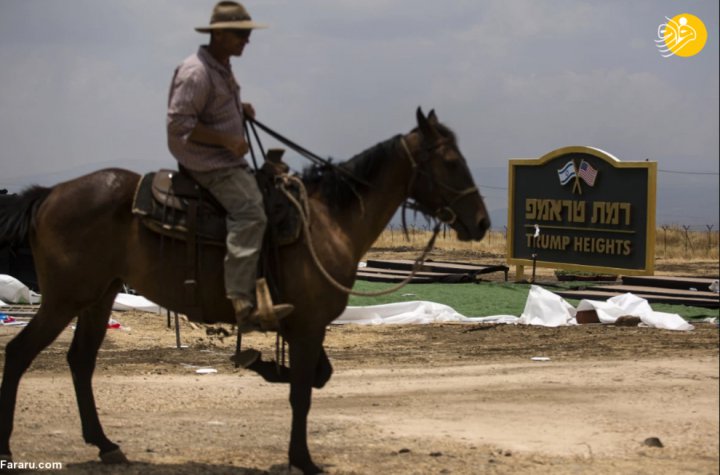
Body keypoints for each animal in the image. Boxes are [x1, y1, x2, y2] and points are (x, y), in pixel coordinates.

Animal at [0, 109, 490, 474]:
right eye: (450, 160)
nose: (482, 222)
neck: (328, 221)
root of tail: (49, 195)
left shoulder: (301, 325)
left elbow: (316, 377)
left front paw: (265, 366)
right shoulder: (309, 325)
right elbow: (303, 391)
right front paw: (302, 459)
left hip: (98, 298)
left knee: (80, 362)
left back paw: (104, 444)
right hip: (65, 299)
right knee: (21, 353)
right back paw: (8, 446)